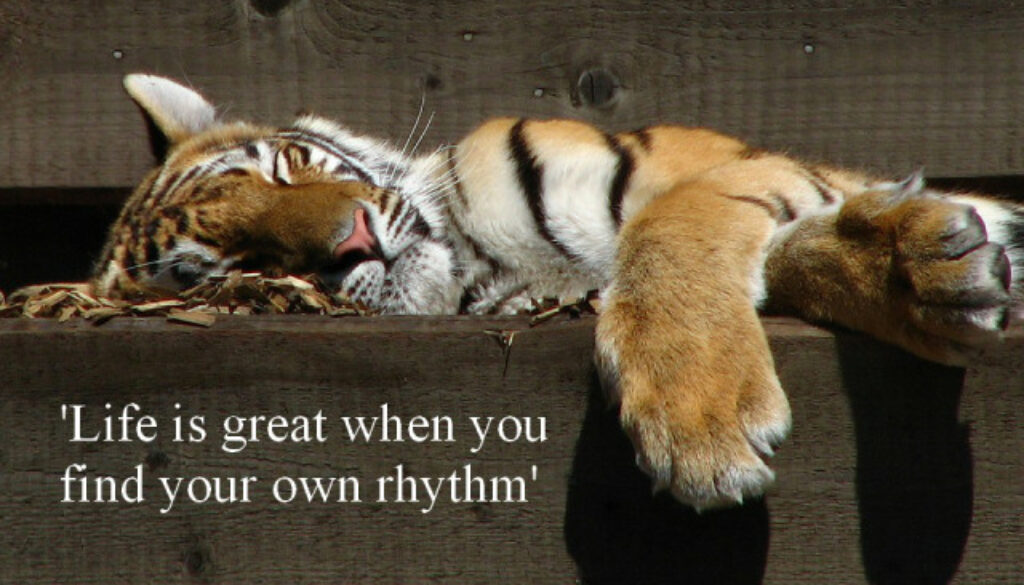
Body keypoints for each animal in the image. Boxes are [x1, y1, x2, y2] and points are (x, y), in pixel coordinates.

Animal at [93, 74, 1023, 510]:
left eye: (287, 166)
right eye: (241, 261)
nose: (351, 239)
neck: (484, 260)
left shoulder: (735, 168)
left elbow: (671, 226)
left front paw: (700, 414)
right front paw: (930, 263)